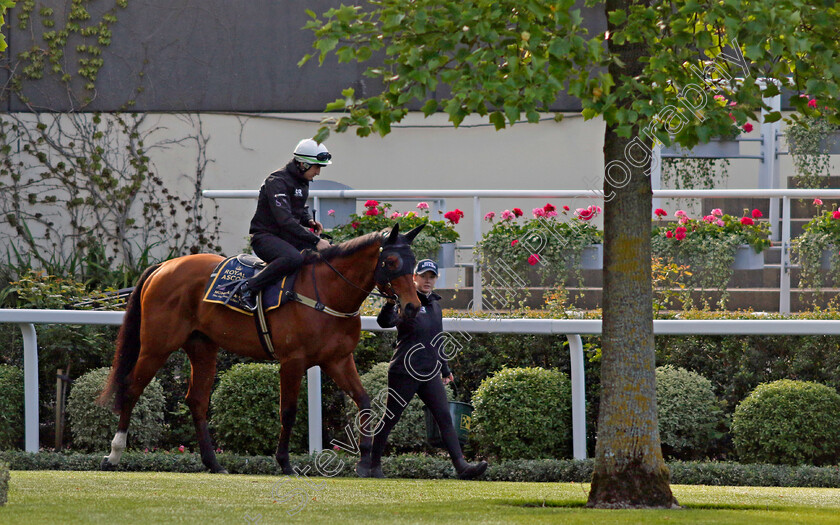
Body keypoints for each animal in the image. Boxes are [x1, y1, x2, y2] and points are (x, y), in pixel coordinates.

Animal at [96, 223, 424, 472]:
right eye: (391, 262)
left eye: (414, 263)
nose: (412, 306)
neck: (327, 292)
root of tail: (164, 265)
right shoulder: (293, 361)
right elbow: (288, 411)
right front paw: (284, 462)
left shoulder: (338, 360)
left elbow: (364, 400)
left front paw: (367, 458)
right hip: (156, 346)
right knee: (131, 388)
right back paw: (114, 453)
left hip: (203, 348)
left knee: (197, 401)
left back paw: (213, 463)